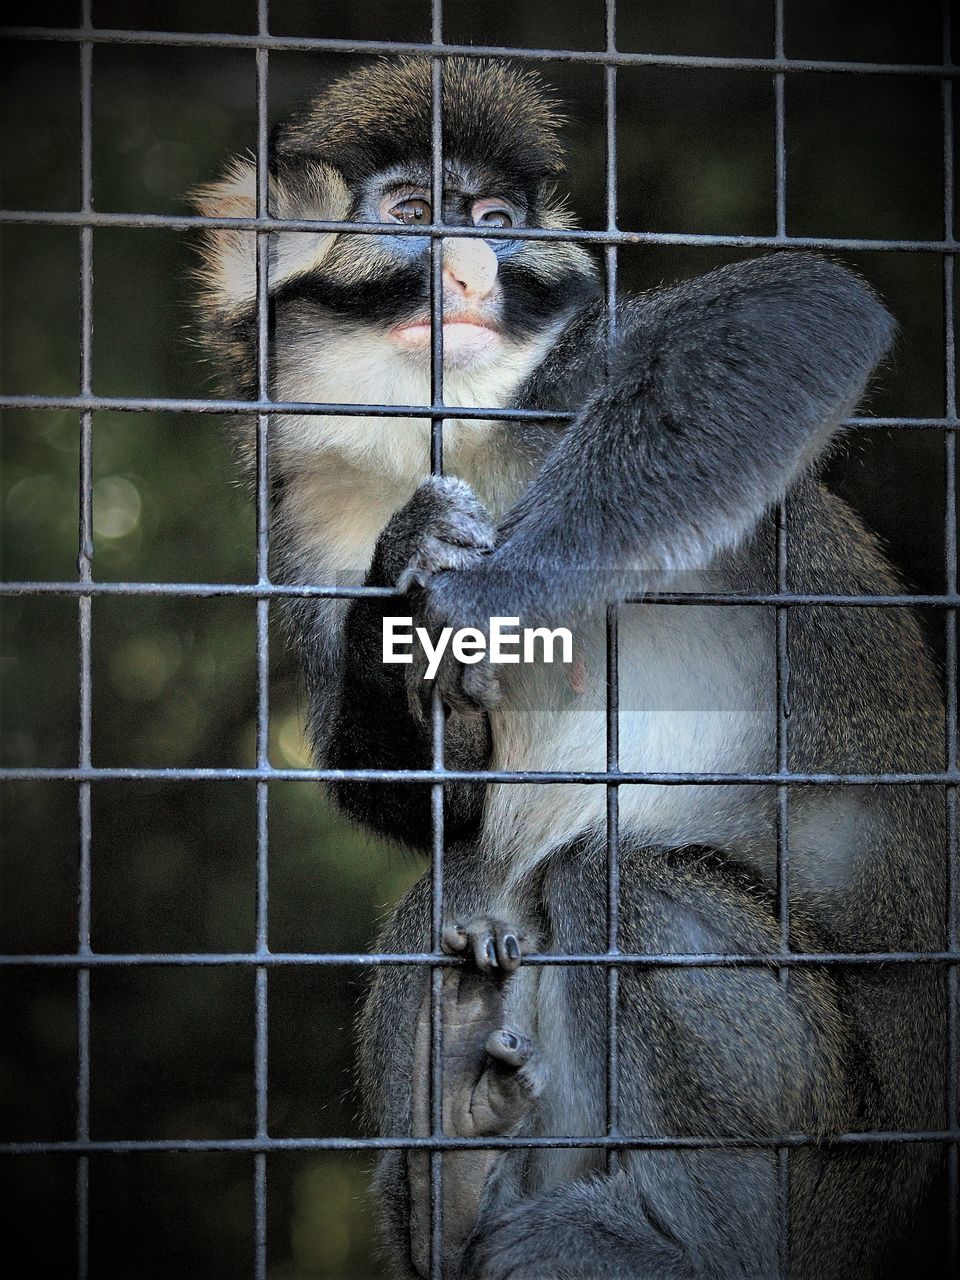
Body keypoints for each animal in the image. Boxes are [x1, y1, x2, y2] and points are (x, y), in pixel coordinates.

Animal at [192, 57, 952, 1280]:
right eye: (417, 211)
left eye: (496, 224)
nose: (471, 269)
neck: (437, 432)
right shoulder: (303, 514)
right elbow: (428, 806)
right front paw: (397, 598)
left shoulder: (568, 376)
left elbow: (798, 310)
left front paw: (492, 596)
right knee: (460, 883)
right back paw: (452, 1183)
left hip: (834, 1162)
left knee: (626, 882)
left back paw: (691, 1243)